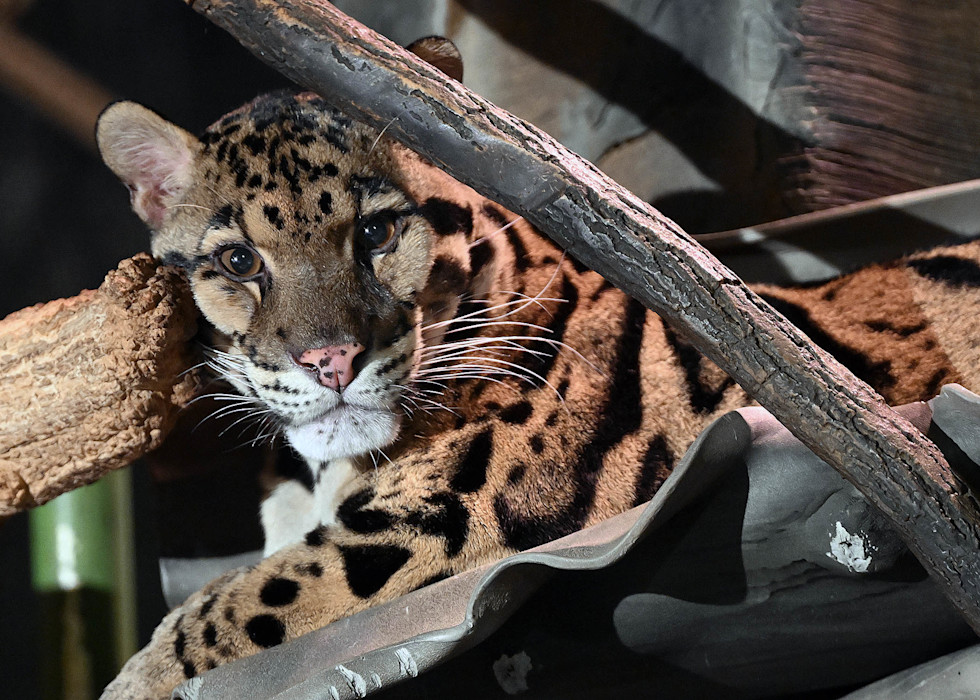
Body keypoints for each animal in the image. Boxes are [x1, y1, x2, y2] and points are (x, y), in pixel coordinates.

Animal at [95, 53, 980, 700]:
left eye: (377, 233)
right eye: (238, 263)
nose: (331, 360)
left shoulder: (458, 514)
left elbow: (242, 603)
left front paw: (134, 680)